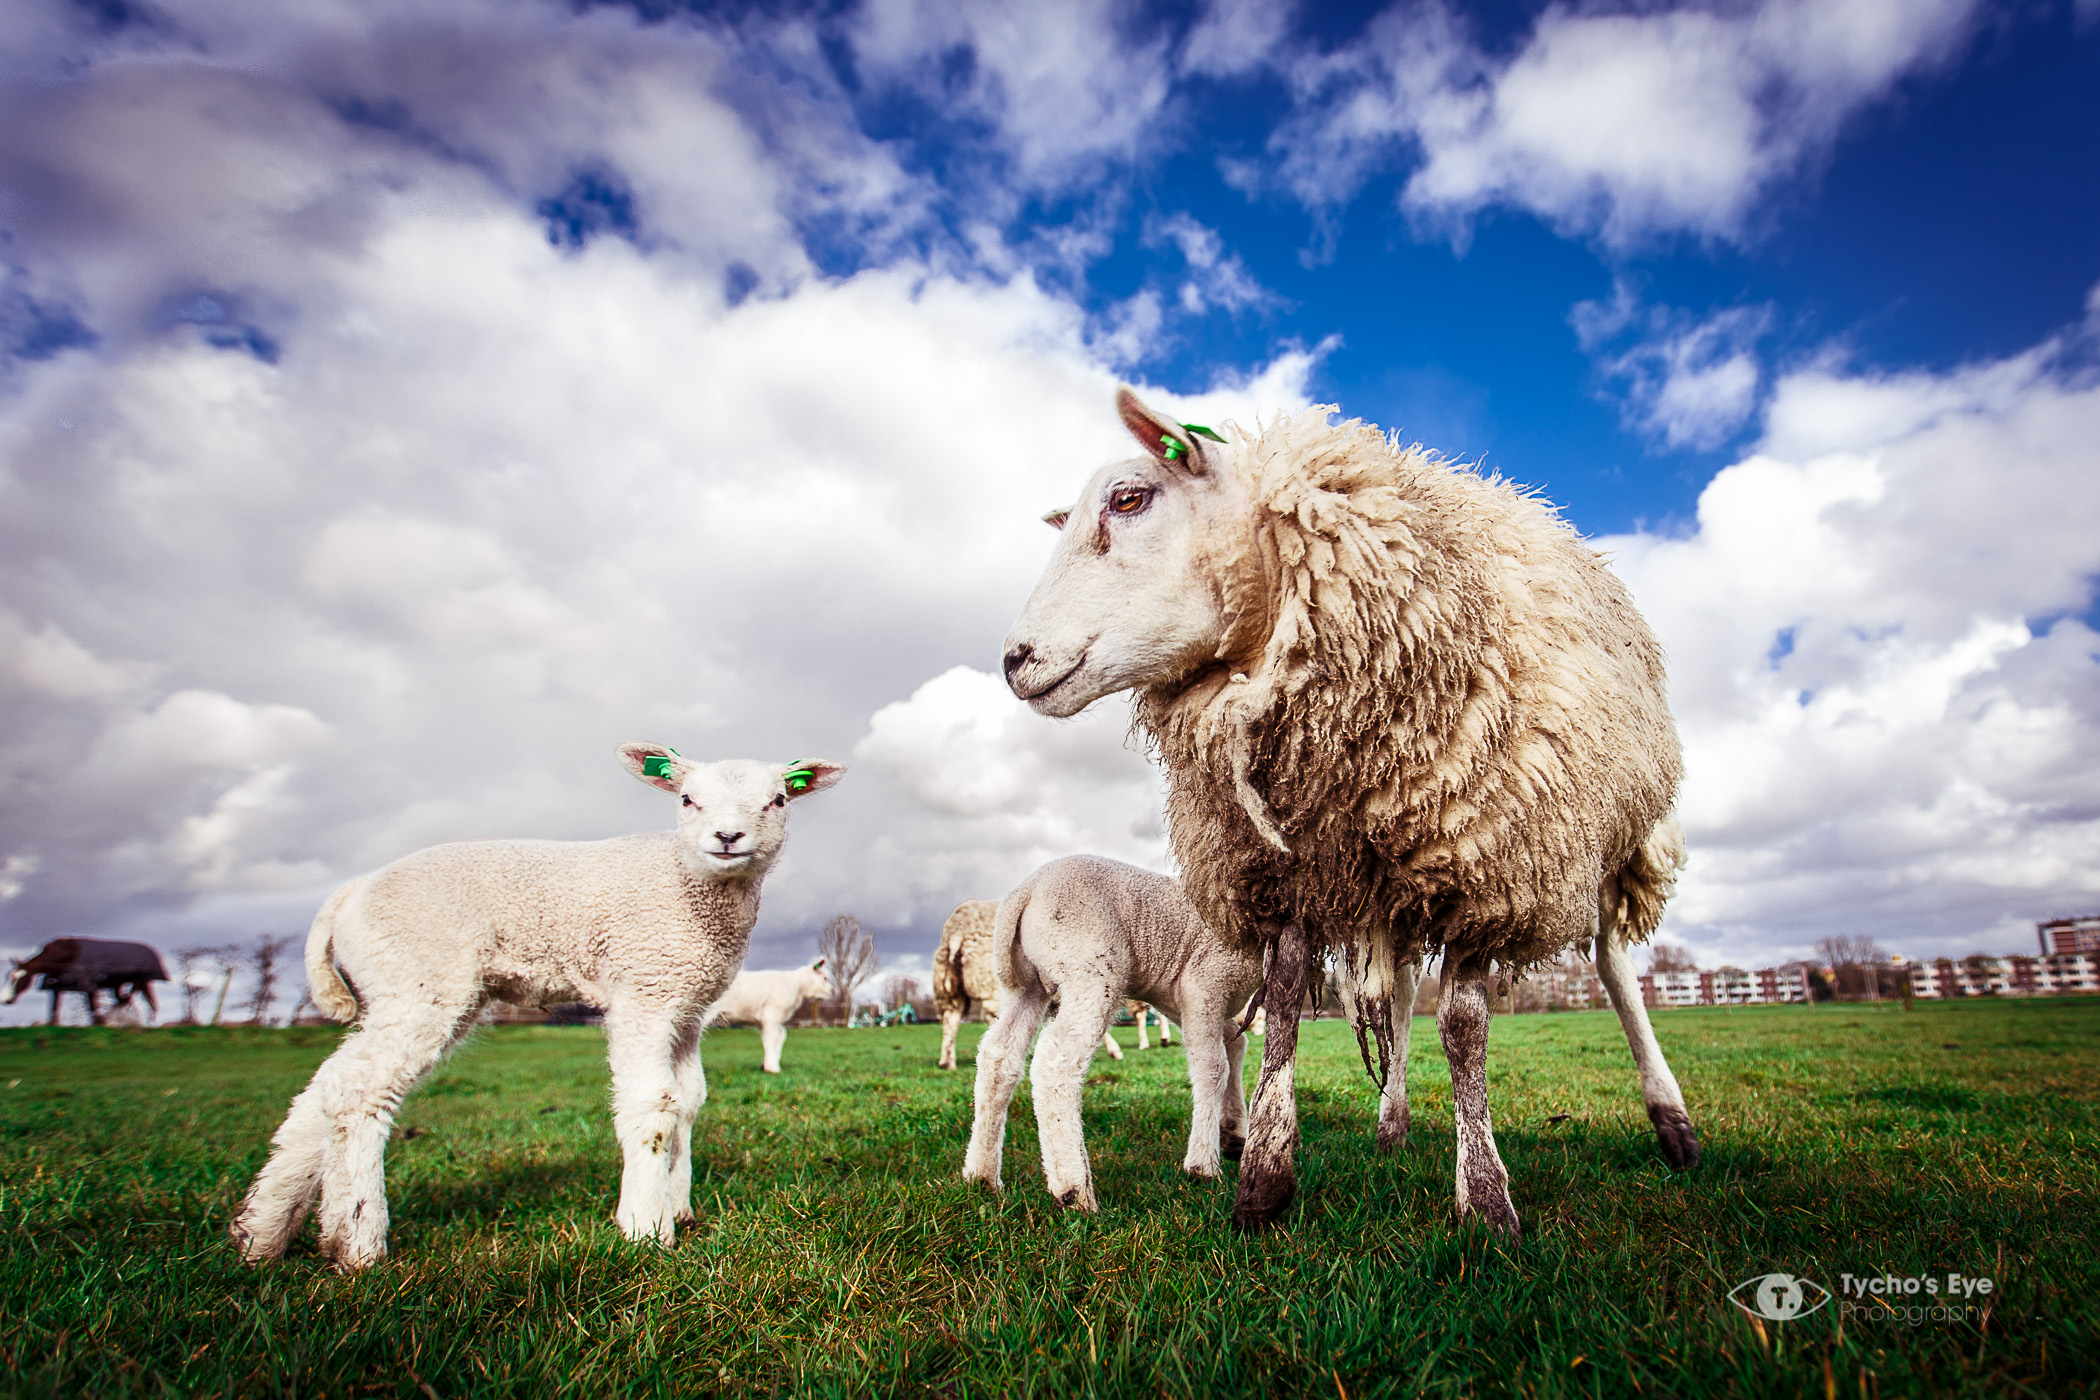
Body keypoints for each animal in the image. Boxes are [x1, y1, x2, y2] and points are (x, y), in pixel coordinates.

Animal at [229, 743, 844, 1271]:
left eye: (779, 800)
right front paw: (646, 1228)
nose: (727, 836)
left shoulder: (686, 1002)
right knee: (357, 1089)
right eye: (686, 798)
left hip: (402, 990)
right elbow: (653, 1107)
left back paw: (263, 1233)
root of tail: (351, 893)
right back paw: (357, 1243)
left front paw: (680, 1207)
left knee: (324, 1089)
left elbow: (689, 1102)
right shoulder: (643, 988)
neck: (685, 884)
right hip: (420, 979)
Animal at [935, 898, 1123, 1070]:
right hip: (994, 984)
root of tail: (958, 931)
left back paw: (947, 1062)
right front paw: (1113, 1051)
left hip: (950, 988)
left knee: (951, 1019)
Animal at [962, 854, 1261, 1208]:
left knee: (999, 1054)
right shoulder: (1204, 984)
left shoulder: (1181, 1000)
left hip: (1027, 985)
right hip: (1090, 966)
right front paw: (1203, 1164)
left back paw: (981, 1175)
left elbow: (1235, 1044)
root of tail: (1027, 891)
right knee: (1057, 1060)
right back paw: (1074, 1190)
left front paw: (1234, 1132)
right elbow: (1214, 1068)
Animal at [1002, 389, 1696, 1235]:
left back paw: (1672, 1121)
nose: (1013, 660)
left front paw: (1486, 1198)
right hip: (1399, 877)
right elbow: (1285, 1012)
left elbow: (1464, 1027)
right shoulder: (1291, 870)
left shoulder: (1490, 871)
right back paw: (1392, 1119)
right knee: (1400, 987)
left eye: (1129, 499)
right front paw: (1264, 1181)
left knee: (1613, 961)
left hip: (1608, 835)